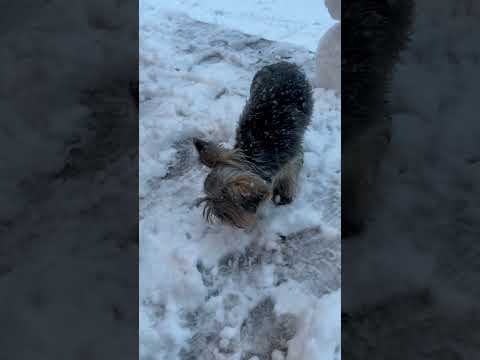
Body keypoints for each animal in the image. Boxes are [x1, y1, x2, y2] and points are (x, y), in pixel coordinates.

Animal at [193, 60, 314, 226]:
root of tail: (284, 63)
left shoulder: (292, 155)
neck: (255, 151)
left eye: (226, 214)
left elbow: (291, 169)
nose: (219, 216)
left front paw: (284, 192)